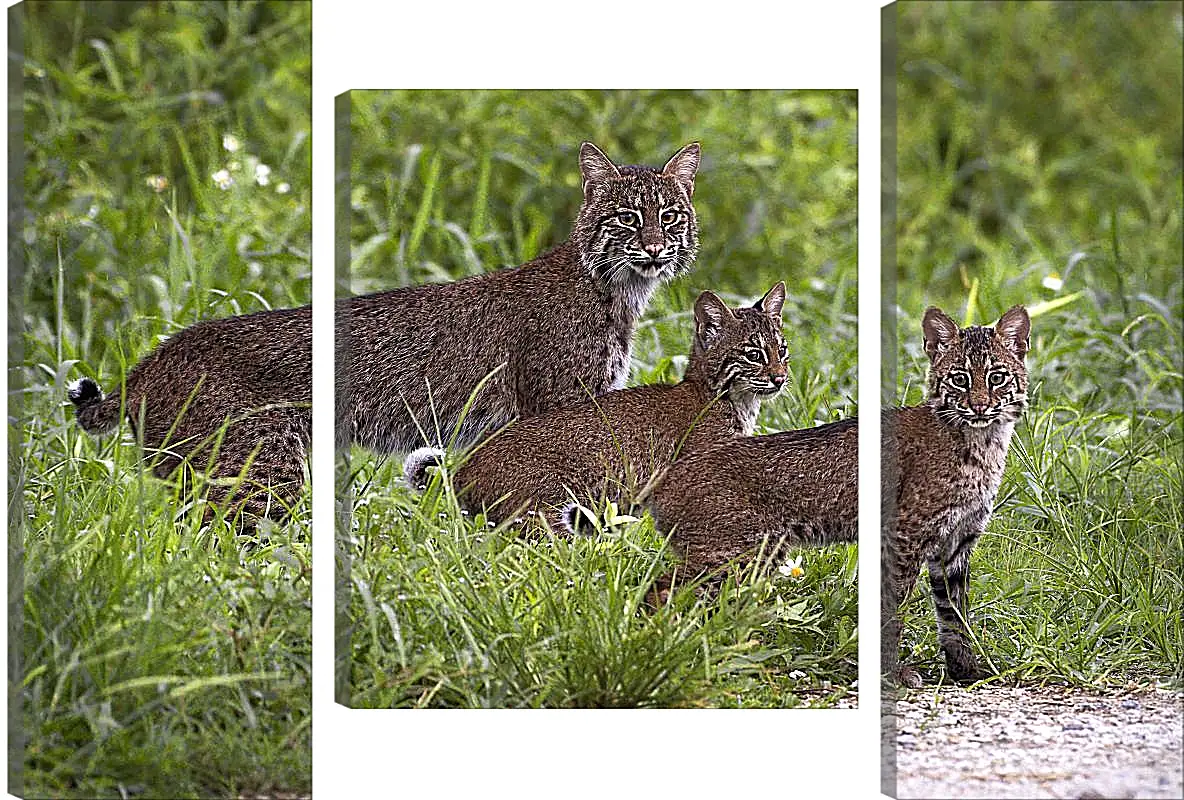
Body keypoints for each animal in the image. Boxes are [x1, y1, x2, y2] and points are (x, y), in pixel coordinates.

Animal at [404, 281, 786, 530]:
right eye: (754, 355)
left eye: (782, 350)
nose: (780, 378)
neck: (731, 400)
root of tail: (464, 466)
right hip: (547, 508)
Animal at [648, 302, 1027, 686]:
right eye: (959, 379)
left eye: (997, 377)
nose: (979, 407)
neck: (983, 440)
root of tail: (669, 475)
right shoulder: (906, 536)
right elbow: (894, 605)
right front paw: (892, 672)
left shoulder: (957, 542)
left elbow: (954, 615)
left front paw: (968, 672)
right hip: (733, 555)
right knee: (660, 590)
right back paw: (668, 651)